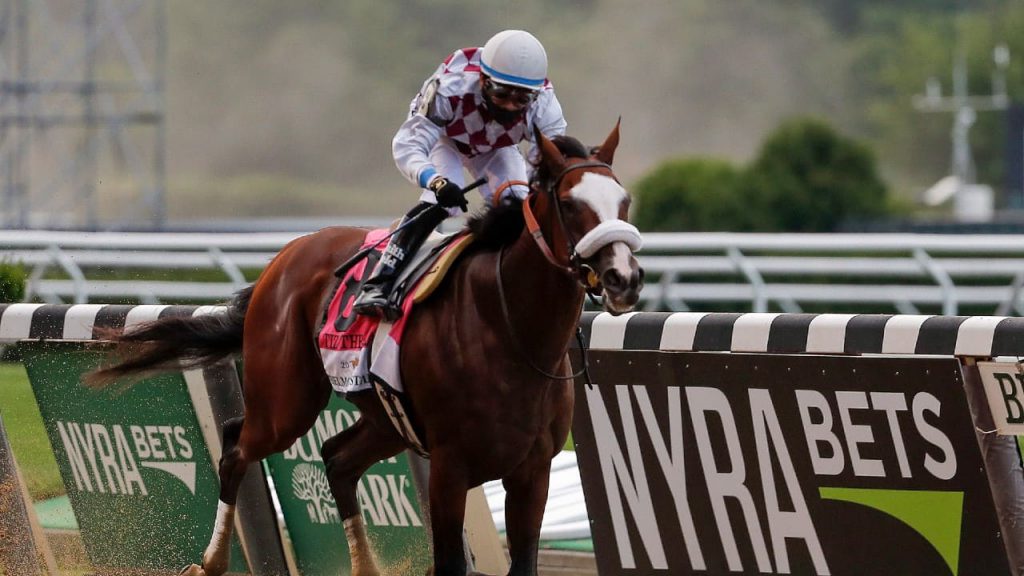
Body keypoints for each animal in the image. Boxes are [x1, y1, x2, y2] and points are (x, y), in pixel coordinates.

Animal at [87, 122, 644, 576]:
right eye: (570, 203)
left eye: (625, 201)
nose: (625, 278)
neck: (507, 330)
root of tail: (284, 257)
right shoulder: (450, 468)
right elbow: (448, 565)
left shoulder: (533, 470)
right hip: (287, 403)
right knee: (235, 445)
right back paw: (210, 561)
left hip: (385, 422)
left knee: (336, 459)